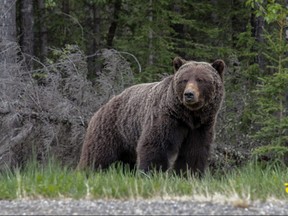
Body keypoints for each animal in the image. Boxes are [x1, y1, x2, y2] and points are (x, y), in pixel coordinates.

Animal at [78, 56, 225, 176]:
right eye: (184, 80)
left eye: (201, 80)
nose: (189, 94)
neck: (188, 116)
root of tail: (102, 107)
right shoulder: (167, 118)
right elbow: (155, 145)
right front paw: (152, 173)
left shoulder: (200, 126)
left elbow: (194, 151)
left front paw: (189, 174)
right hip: (111, 129)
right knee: (97, 155)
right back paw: (87, 172)